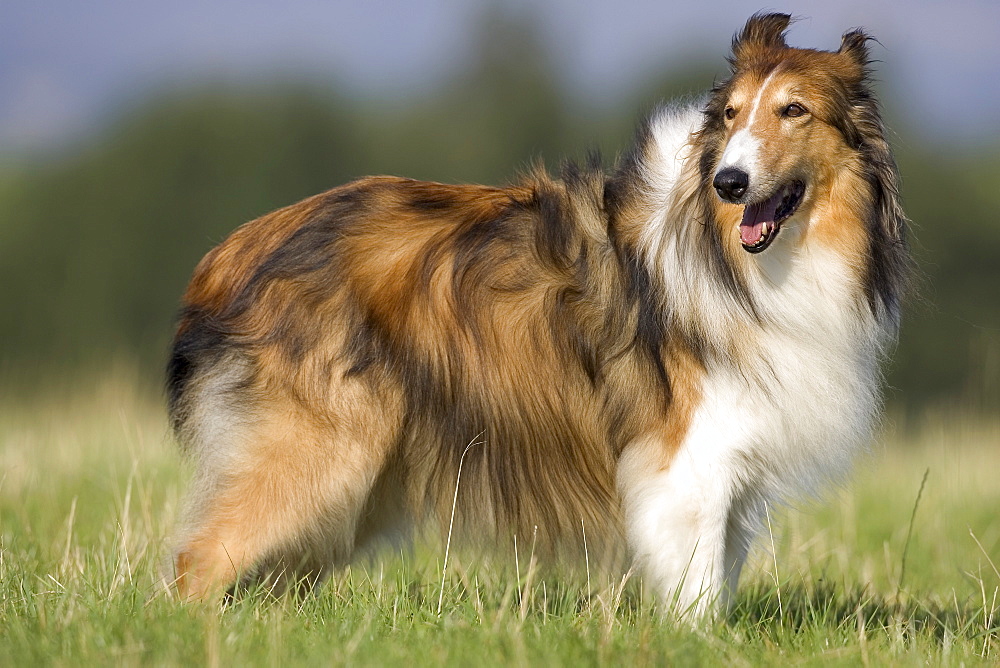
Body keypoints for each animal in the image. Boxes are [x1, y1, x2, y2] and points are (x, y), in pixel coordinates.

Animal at [170, 13, 908, 616]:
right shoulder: (690, 461)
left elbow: (717, 577)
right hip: (317, 459)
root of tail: (232, 249)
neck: (732, 252)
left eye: (794, 110)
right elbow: (697, 588)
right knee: (193, 564)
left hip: (352, 490)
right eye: (728, 114)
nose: (729, 182)